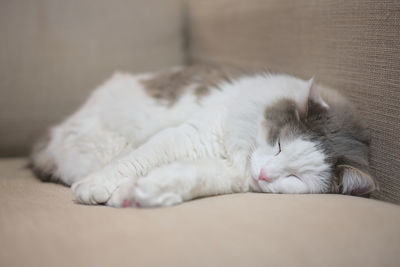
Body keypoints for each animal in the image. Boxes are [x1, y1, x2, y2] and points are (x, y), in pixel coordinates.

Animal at [30, 65, 376, 209]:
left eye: (295, 177)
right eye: (279, 146)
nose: (264, 174)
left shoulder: (221, 173)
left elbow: (184, 178)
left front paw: (142, 193)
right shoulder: (190, 136)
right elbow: (133, 163)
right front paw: (95, 189)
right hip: (105, 142)